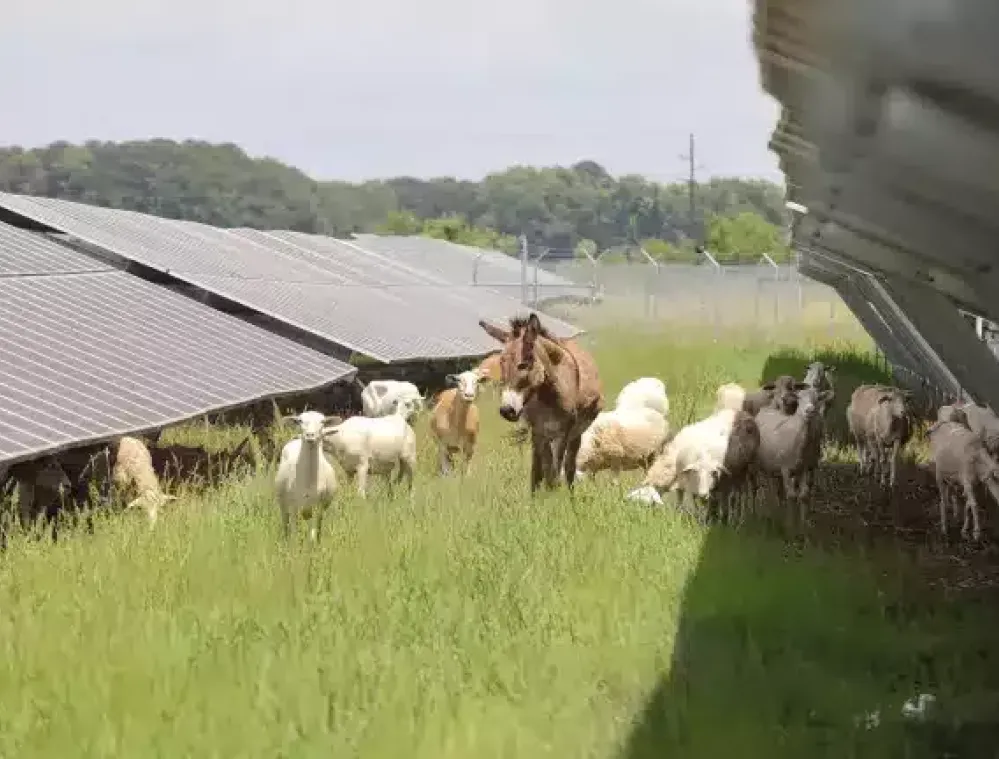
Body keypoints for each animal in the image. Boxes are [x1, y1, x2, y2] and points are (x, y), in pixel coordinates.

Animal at [274, 411, 340, 541]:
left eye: (322, 421)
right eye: (300, 420)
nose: (310, 435)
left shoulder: (318, 507)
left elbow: (313, 536)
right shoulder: (293, 507)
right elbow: (295, 535)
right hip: (283, 504)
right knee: (286, 527)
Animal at [755, 385, 834, 528]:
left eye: (817, 399)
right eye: (799, 398)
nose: (809, 410)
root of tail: (766, 409)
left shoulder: (805, 468)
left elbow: (804, 495)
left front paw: (803, 524)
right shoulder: (785, 469)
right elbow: (791, 496)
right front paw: (790, 525)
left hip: (774, 465)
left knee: (775, 486)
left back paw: (778, 508)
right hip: (761, 464)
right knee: (766, 485)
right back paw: (769, 511)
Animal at [927, 404, 999, 542]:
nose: (929, 430)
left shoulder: (974, 483)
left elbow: (968, 505)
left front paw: (966, 530)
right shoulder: (966, 481)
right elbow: (972, 504)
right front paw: (975, 532)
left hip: (954, 478)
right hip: (943, 476)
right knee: (945, 500)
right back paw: (946, 526)